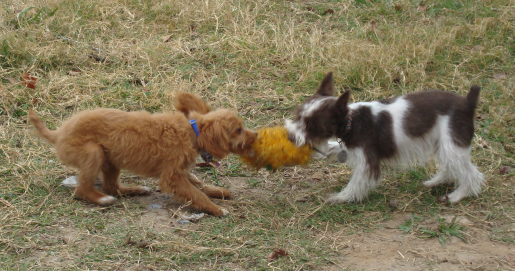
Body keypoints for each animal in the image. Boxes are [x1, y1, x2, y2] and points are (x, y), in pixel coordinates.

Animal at [286, 72, 484, 204]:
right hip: (443, 143)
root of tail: (468, 102)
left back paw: (456, 196)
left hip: (452, 144)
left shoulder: (367, 161)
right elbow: (333, 148)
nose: (290, 136)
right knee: (451, 167)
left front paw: (341, 197)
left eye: (313, 127)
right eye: (298, 116)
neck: (352, 121)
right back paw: (435, 182)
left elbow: (356, 182)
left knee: (471, 174)